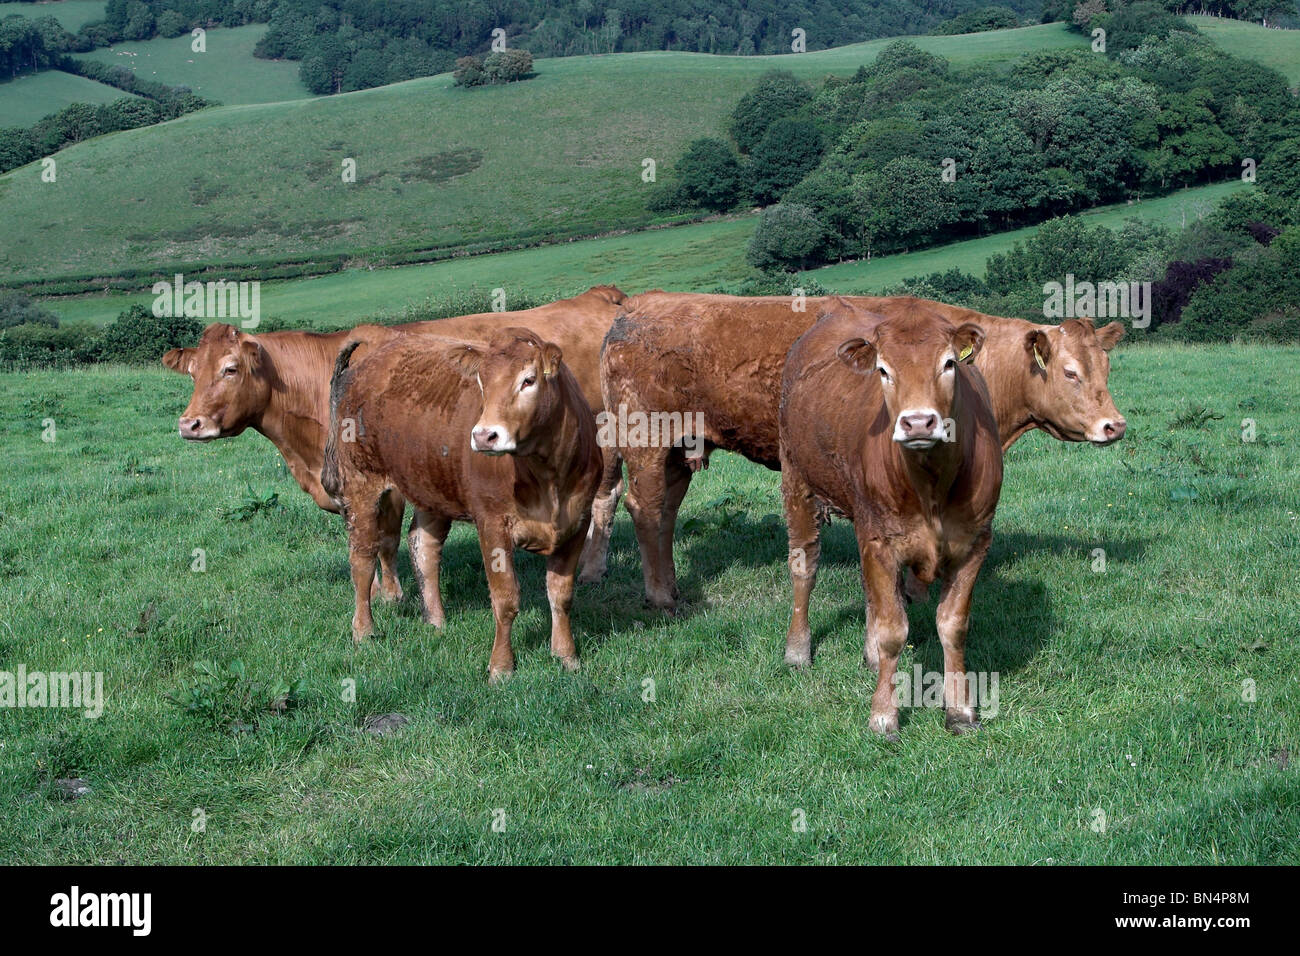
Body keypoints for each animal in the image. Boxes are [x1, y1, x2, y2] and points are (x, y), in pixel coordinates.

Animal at [159, 283, 626, 598]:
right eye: (193, 372)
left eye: (230, 368)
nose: (189, 424)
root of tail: (599, 296)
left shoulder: (389, 480)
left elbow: (384, 538)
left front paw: (390, 595)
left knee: (605, 498)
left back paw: (591, 568)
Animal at [319, 329, 603, 681]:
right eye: (482, 382)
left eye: (529, 380)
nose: (484, 436)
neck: (547, 474)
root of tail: (373, 353)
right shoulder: (492, 522)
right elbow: (505, 599)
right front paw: (501, 666)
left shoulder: (578, 521)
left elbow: (561, 595)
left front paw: (567, 656)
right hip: (362, 485)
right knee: (362, 558)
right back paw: (364, 631)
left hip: (429, 484)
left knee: (423, 546)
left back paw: (436, 621)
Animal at [603, 291, 1123, 608]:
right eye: (1071, 372)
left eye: (1106, 367)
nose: (1114, 426)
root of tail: (639, 305)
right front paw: (914, 594)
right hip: (645, 438)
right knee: (645, 507)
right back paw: (661, 598)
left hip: (678, 450)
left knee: (666, 512)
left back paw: (672, 587)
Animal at [774, 303, 998, 738]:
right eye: (883, 370)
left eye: (949, 363)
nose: (918, 422)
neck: (930, 483)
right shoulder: (879, 539)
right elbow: (895, 630)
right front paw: (883, 716)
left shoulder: (975, 541)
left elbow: (953, 625)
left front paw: (961, 711)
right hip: (797, 478)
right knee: (804, 566)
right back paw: (797, 650)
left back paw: (871, 655)